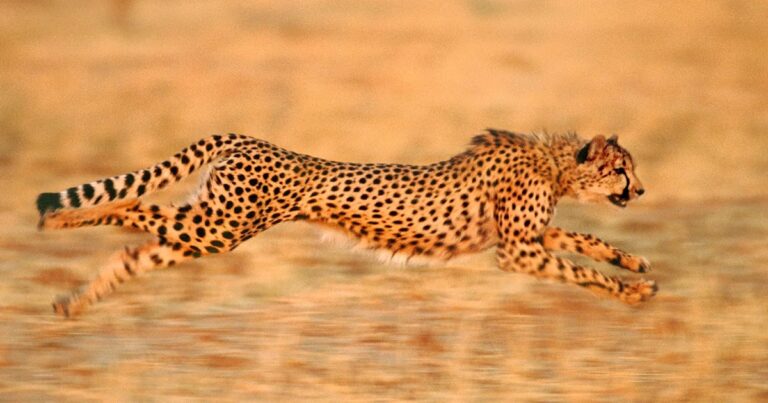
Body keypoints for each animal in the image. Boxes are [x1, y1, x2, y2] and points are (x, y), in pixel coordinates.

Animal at [37, 129, 656, 317]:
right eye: (622, 169)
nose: (642, 190)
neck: (556, 162)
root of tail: (246, 138)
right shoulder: (517, 250)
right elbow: (580, 270)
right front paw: (629, 291)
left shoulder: (529, 236)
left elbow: (586, 241)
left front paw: (636, 265)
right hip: (222, 225)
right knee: (128, 209)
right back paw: (60, 219)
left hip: (208, 226)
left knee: (134, 250)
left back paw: (71, 302)